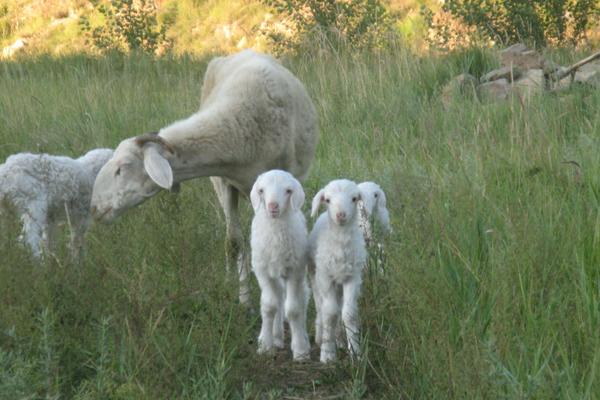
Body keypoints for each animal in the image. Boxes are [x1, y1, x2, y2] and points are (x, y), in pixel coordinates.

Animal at [90, 50, 318, 306]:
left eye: (122, 168)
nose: (94, 208)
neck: (238, 129)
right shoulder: (224, 182)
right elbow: (234, 241)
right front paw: (244, 299)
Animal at [248, 169, 310, 360]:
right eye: (261, 190)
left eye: (288, 191)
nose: (273, 206)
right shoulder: (262, 270)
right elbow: (269, 306)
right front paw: (265, 345)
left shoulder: (295, 270)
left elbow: (294, 309)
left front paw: (300, 351)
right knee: (278, 298)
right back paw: (276, 336)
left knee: (300, 300)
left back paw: (303, 337)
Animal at [308, 178, 368, 362]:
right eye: (327, 200)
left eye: (354, 198)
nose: (340, 215)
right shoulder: (325, 278)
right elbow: (330, 314)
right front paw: (327, 353)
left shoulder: (352, 278)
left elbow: (348, 314)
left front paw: (355, 352)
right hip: (315, 276)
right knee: (321, 307)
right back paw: (321, 337)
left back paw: (340, 339)